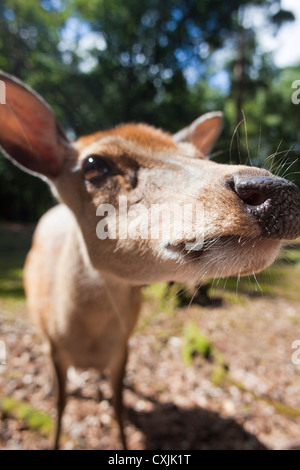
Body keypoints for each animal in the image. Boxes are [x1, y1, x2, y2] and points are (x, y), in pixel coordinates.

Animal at [0, 69, 300, 448]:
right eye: (94, 164)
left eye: (198, 155)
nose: (276, 191)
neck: (85, 342)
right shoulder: (54, 347)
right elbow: (61, 405)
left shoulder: (123, 347)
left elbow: (117, 406)